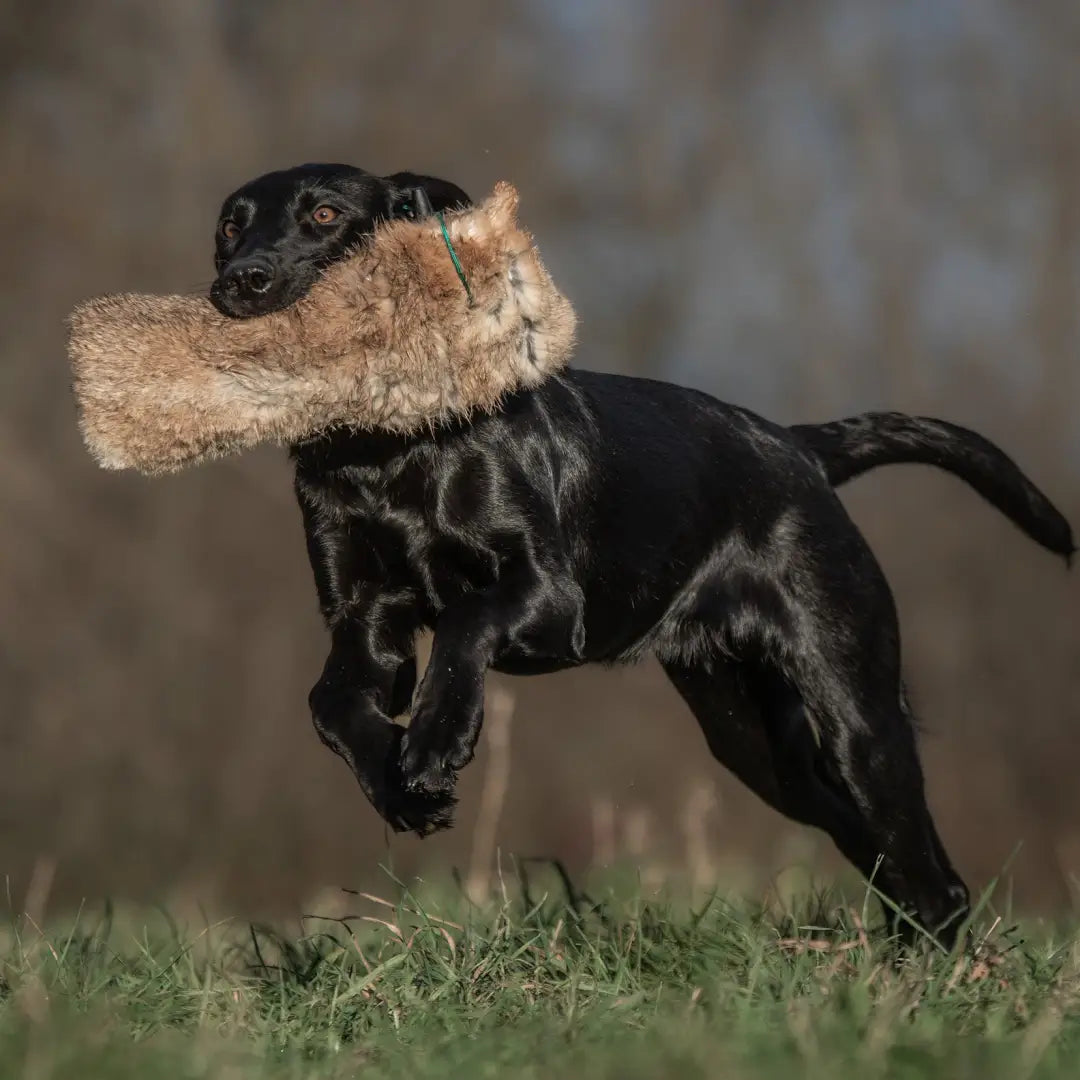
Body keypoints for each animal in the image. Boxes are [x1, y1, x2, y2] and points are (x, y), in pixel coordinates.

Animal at [208, 162, 1071, 946]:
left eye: (324, 213)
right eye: (228, 227)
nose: (240, 281)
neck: (387, 453)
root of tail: (800, 447)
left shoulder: (552, 599)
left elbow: (464, 624)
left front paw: (434, 743)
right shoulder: (363, 621)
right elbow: (329, 704)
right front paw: (399, 786)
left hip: (855, 710)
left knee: (932, 872)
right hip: (755, 740)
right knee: (875, 848)